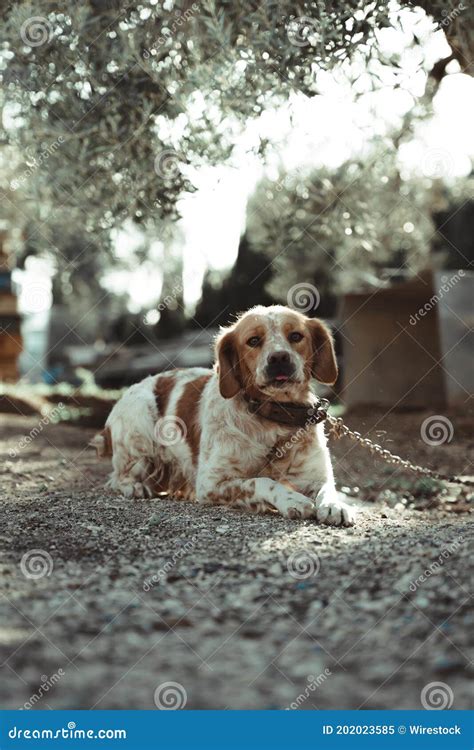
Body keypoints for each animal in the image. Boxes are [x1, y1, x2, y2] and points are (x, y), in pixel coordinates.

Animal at [93, 306, 356, 528]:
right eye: (253, 341)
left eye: (296, 336)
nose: (280, 358)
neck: (272, 420)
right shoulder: (211, 483)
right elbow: (262, 481)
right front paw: (293, 500)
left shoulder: (316, 475)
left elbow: (328, 488)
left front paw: (335, 505)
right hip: (140, 421)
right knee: (117, 477)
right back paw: (136, 487)